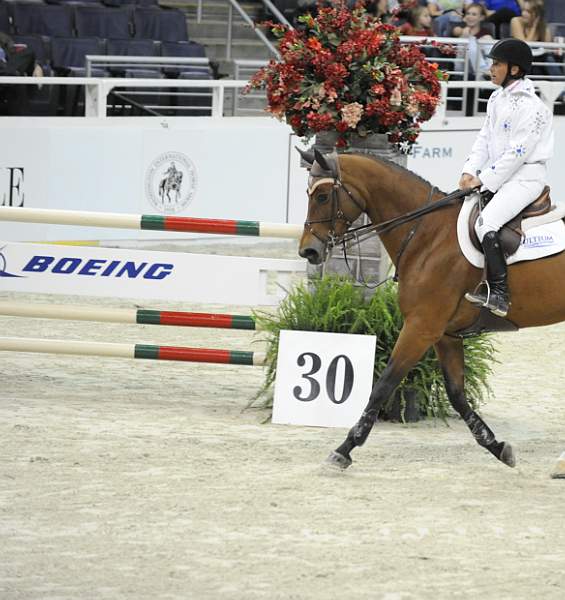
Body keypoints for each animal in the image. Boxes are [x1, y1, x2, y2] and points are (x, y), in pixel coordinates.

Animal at [298, 148, 560, 472]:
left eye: (322, 196)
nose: (308, 251)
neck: (426, 233)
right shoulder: (446, 335)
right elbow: (457, 394)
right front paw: (498, 447)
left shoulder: (421, 328)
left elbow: (383, 385)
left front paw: (344, 449)